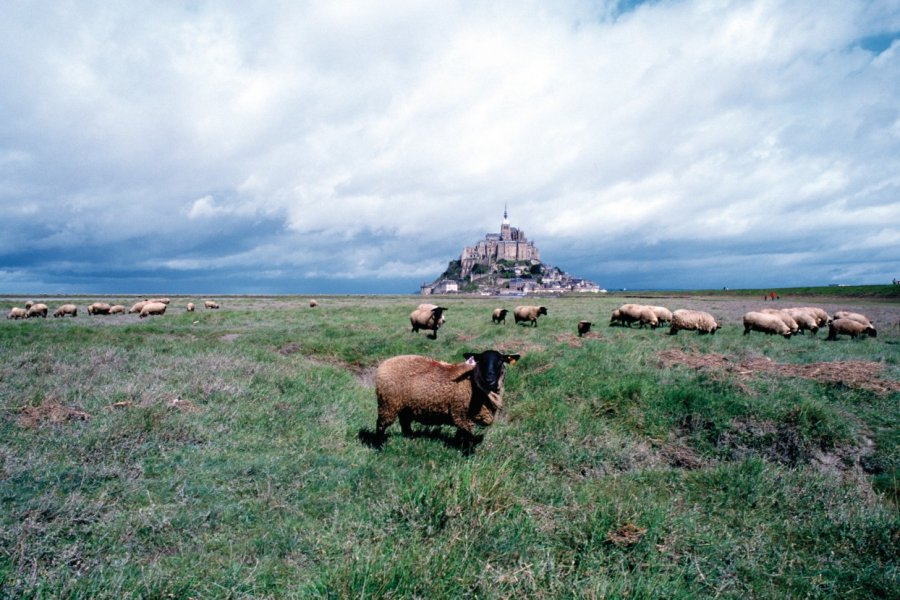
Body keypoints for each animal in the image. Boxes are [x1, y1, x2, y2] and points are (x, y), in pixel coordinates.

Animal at [372, 350, 520, 442]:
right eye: (481, 360)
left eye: (500, 361)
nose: (490, 379)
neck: (473, 382)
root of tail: (383, 364)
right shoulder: (460, 413)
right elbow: (468, 437)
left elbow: (461, 434)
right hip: (388, 403)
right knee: (381, 424)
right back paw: (379, 445)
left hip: (404, 406)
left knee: (405, 423)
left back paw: (410, 438)